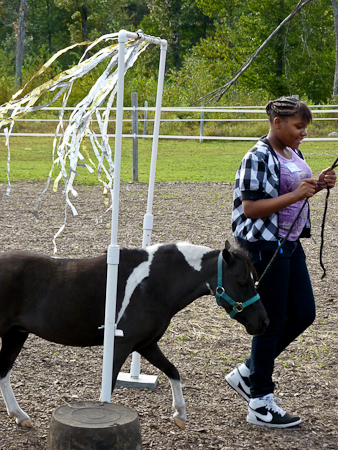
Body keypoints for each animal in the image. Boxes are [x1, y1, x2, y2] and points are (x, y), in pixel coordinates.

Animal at [0, 243, 270, 428]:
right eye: (242, 281)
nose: (263, 322)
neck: (153, 284)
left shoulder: (146, 344)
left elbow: (173, 370)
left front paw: (180, 415)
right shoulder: (121, 345)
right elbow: (107, 392)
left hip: (16, 335)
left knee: (2, 373)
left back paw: (20, 416)